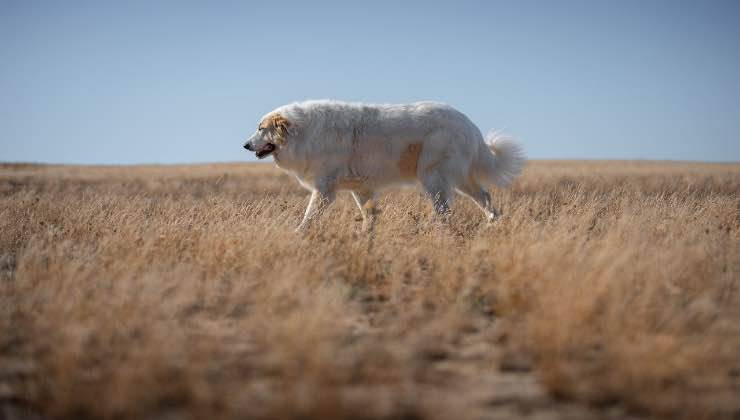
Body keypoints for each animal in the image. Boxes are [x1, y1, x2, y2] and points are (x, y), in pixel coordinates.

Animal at [241, 100, 520, 231]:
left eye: (261, 129)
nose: (245, 145)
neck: (305, 133)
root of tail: (468, 123)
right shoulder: (361, 189)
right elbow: (369, 216)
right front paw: (366, 237)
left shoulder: (324, 190)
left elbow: (309, 217)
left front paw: (298, 233)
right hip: (459, 179)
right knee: (485, 196)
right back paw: (492, 223)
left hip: (433, 178)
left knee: (445, 211)